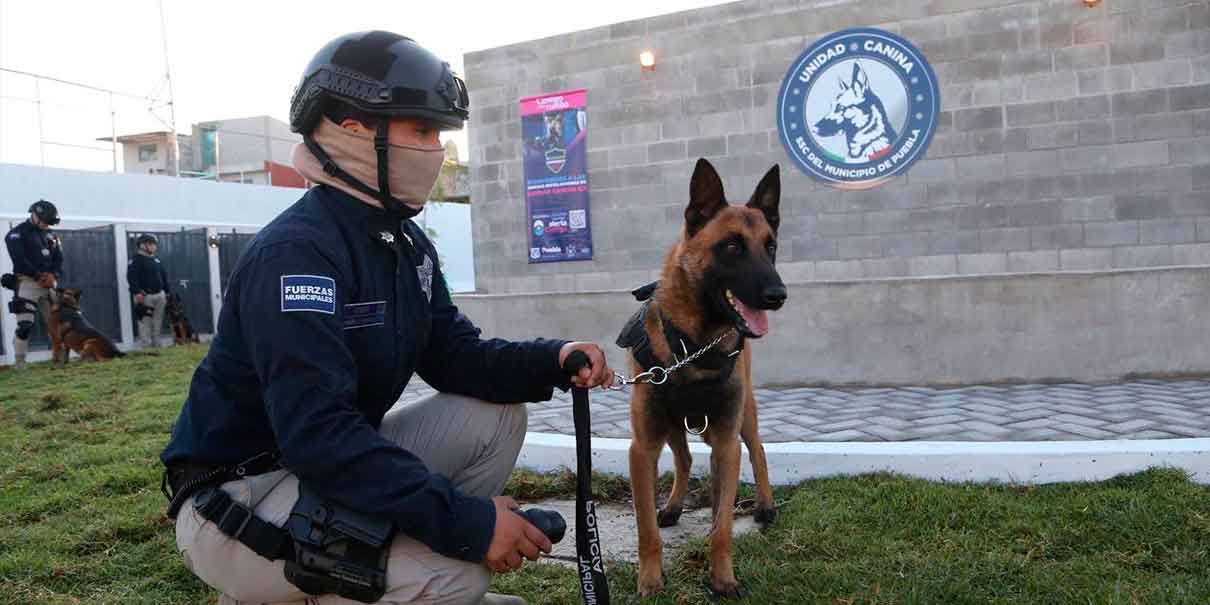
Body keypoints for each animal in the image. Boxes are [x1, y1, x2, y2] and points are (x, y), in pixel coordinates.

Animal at [624, 158, 784, 597]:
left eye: (771, 247)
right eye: (731, 247)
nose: (779, 294)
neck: (693, 346)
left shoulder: (726, 445)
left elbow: (722, 527)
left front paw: (722, 579)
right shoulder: (642, 447)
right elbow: (646, 529)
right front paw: (650, 579)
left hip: (743, 416)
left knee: (758, 449)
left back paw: (766, 505)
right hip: (673, 426)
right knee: (683, 459)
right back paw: (674, 506)